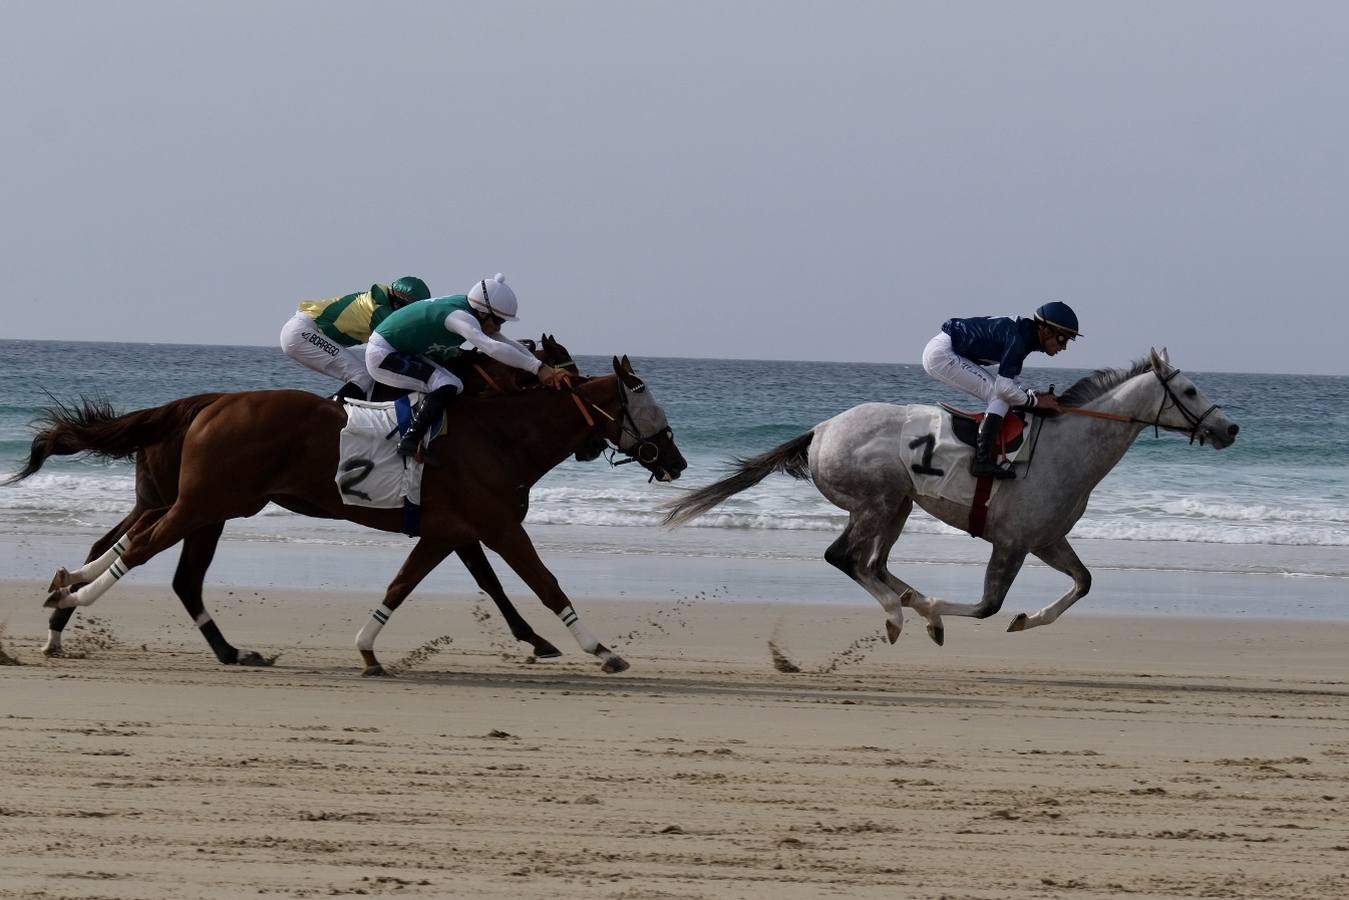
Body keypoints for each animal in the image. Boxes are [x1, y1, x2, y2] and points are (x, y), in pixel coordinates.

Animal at [13, 356, 685, 671]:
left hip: (210, 505)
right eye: (647, 404)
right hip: (206, 501)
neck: (502, 434)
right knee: (140, 550)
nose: (675, 459)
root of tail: (209, 403)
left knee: (170, 569)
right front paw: (601, 650)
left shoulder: (446, 530)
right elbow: (544, 584)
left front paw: (367, 650)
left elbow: (403, 585)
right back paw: (70, 597)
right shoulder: (496, 525)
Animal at [658, 348, 1235, 644]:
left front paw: (1026, 620)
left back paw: (910, 604)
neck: (1068, 447)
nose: (1229, 429)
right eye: (1189, 391)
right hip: (878, 501)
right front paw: (940, 609)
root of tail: (821, 429)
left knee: (872, 564)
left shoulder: (1046, 540)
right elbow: (987, 606)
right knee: (844, 557)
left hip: (897, 505)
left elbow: (1084, 583)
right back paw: (900, 614)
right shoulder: (1011, 542)